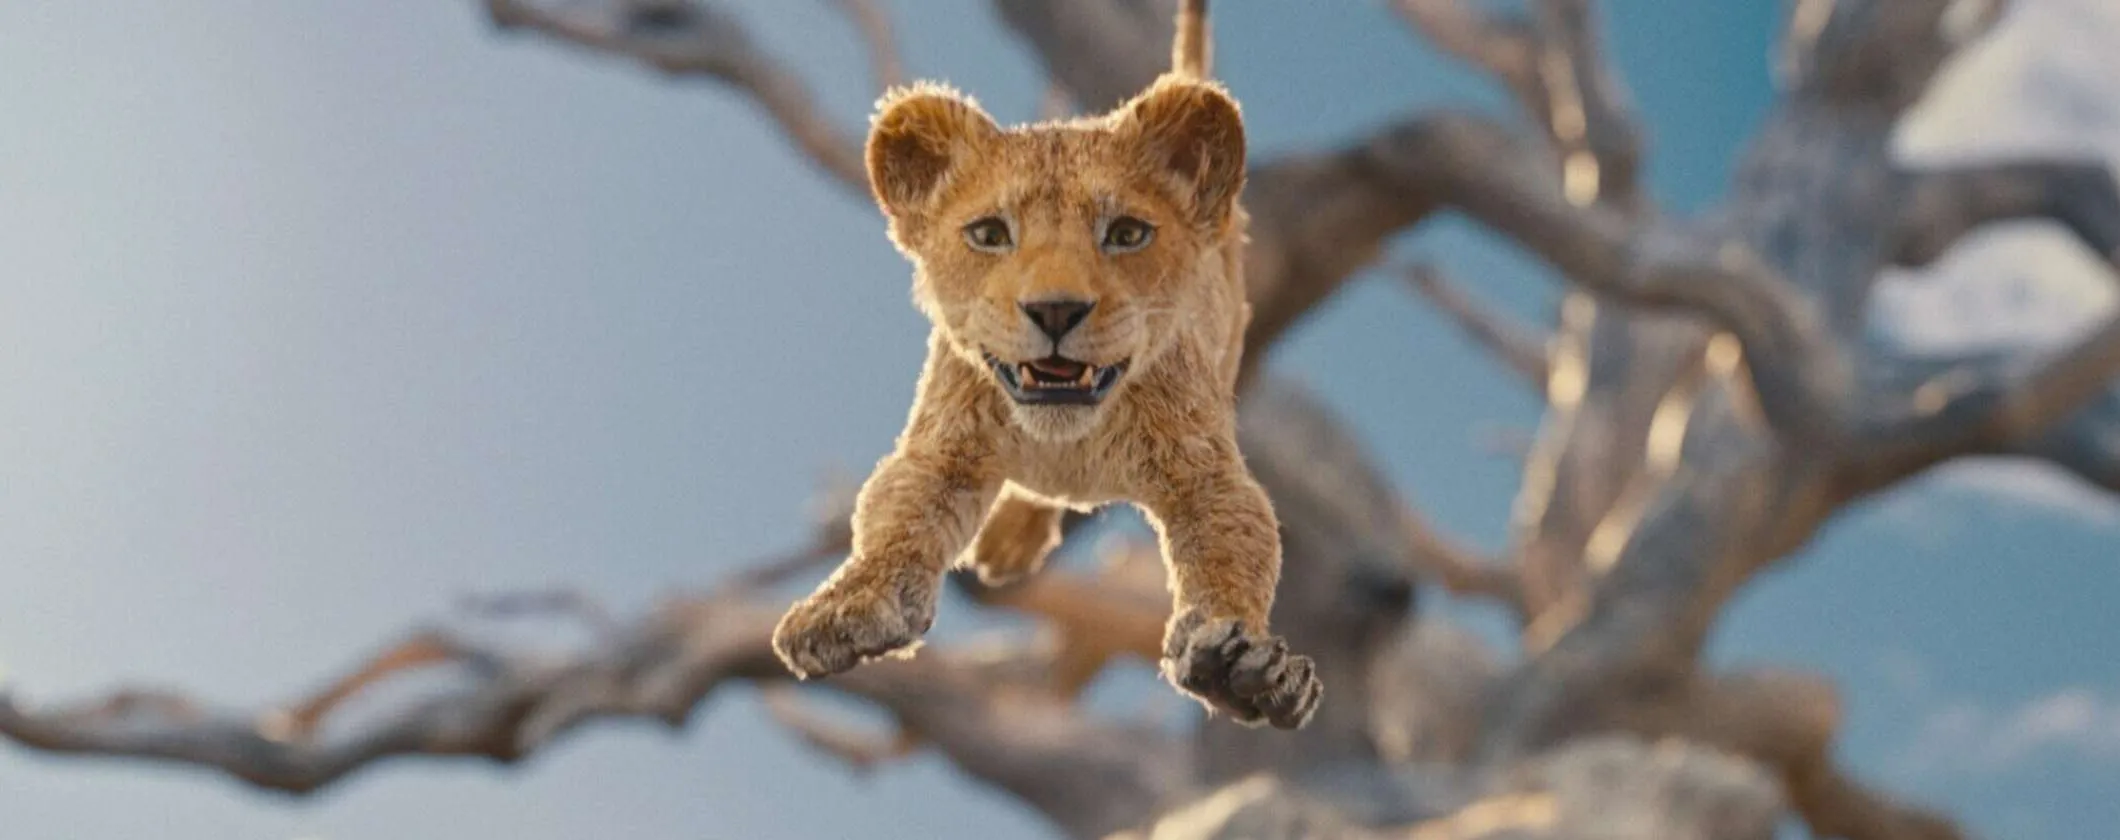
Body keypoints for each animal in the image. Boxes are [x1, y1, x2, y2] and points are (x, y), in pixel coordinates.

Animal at [770, 1, 1320, 730]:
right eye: (989, 234)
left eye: (1127, 234)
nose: (1056, 310)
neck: (1069, 441)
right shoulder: (943, 448)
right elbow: (894, 519)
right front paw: (844, 608)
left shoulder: (1204, 472)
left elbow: (1236, 548)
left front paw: (1243, 667)